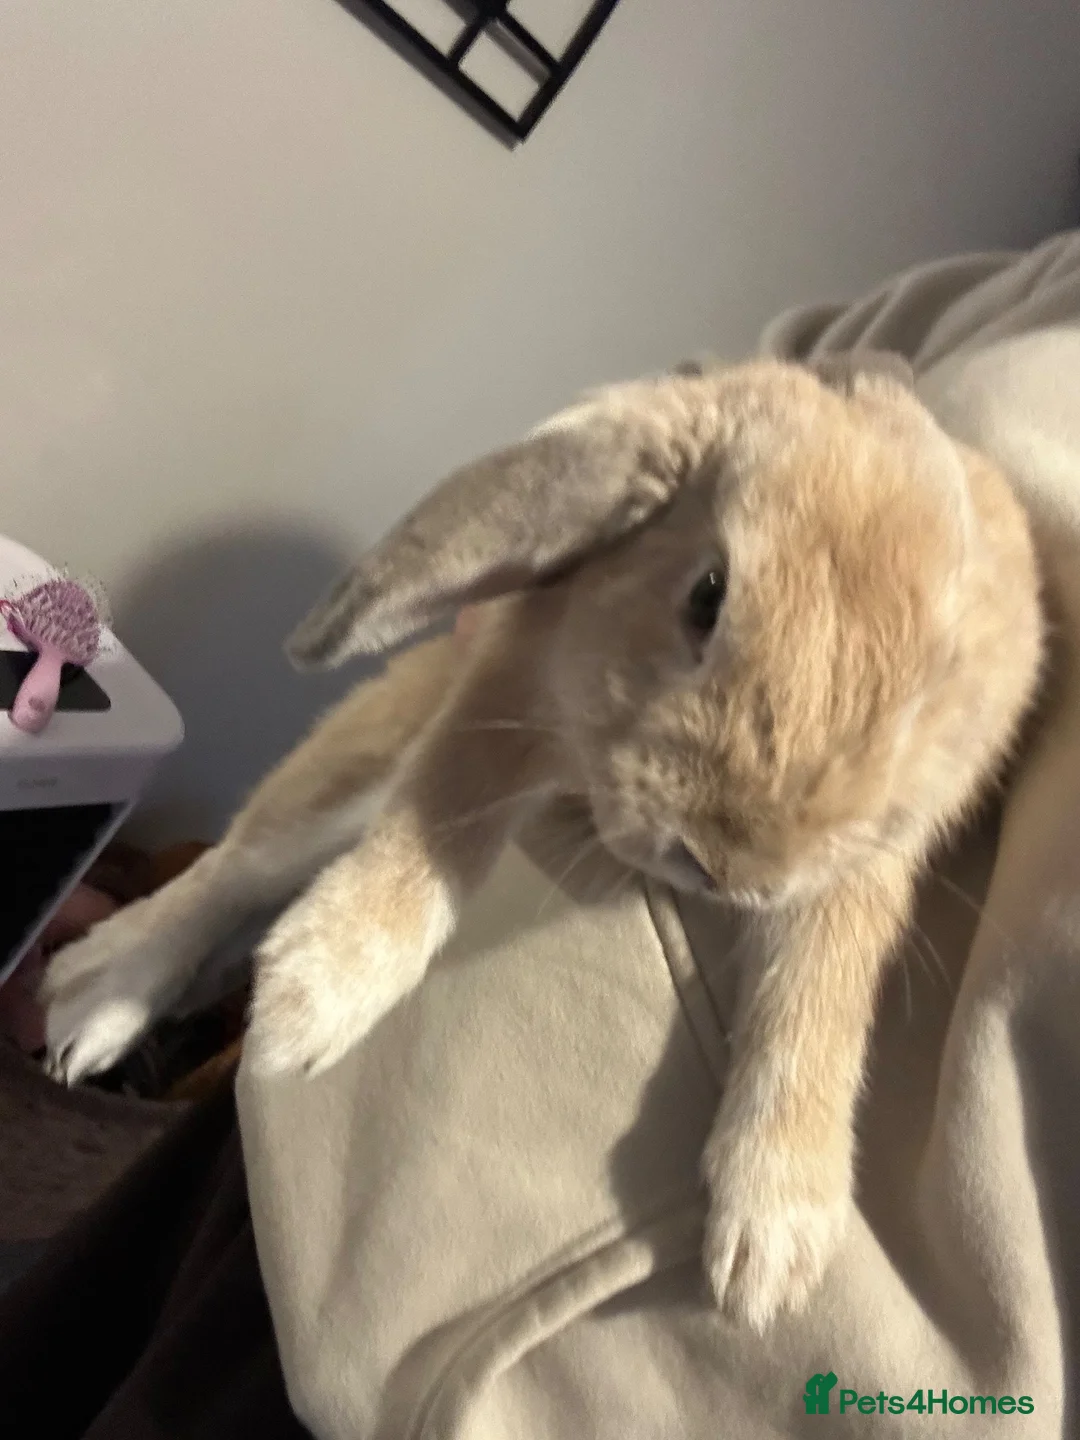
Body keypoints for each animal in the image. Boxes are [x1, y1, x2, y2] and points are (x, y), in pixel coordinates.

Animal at [42, 354, 1043, 1331]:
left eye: (921, 702)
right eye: (707, 594)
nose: (717, 863)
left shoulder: (854, 875)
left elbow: (817, 996)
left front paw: (771, 1249)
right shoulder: (514, 683)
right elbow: (449, 806)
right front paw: (309, 1001)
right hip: (357, 760)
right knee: (233, 869)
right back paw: (90, 1005)